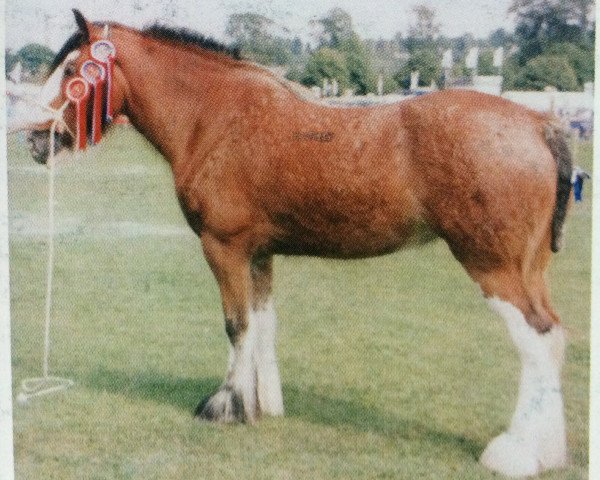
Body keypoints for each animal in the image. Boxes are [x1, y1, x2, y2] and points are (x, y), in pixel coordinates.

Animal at [19, 10, 572, 476]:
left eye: (74, 69)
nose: (34, 139)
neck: (213, 118)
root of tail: (538, 123)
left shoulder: (223, 247)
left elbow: (236, 324)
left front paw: (227, 405)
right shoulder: (258, 254)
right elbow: (263, 323)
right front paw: (263, 403)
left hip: (493, 268)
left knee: (537, 339)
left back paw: (515, 453)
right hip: (530, 270)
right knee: (555, 337)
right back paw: (548, 449)